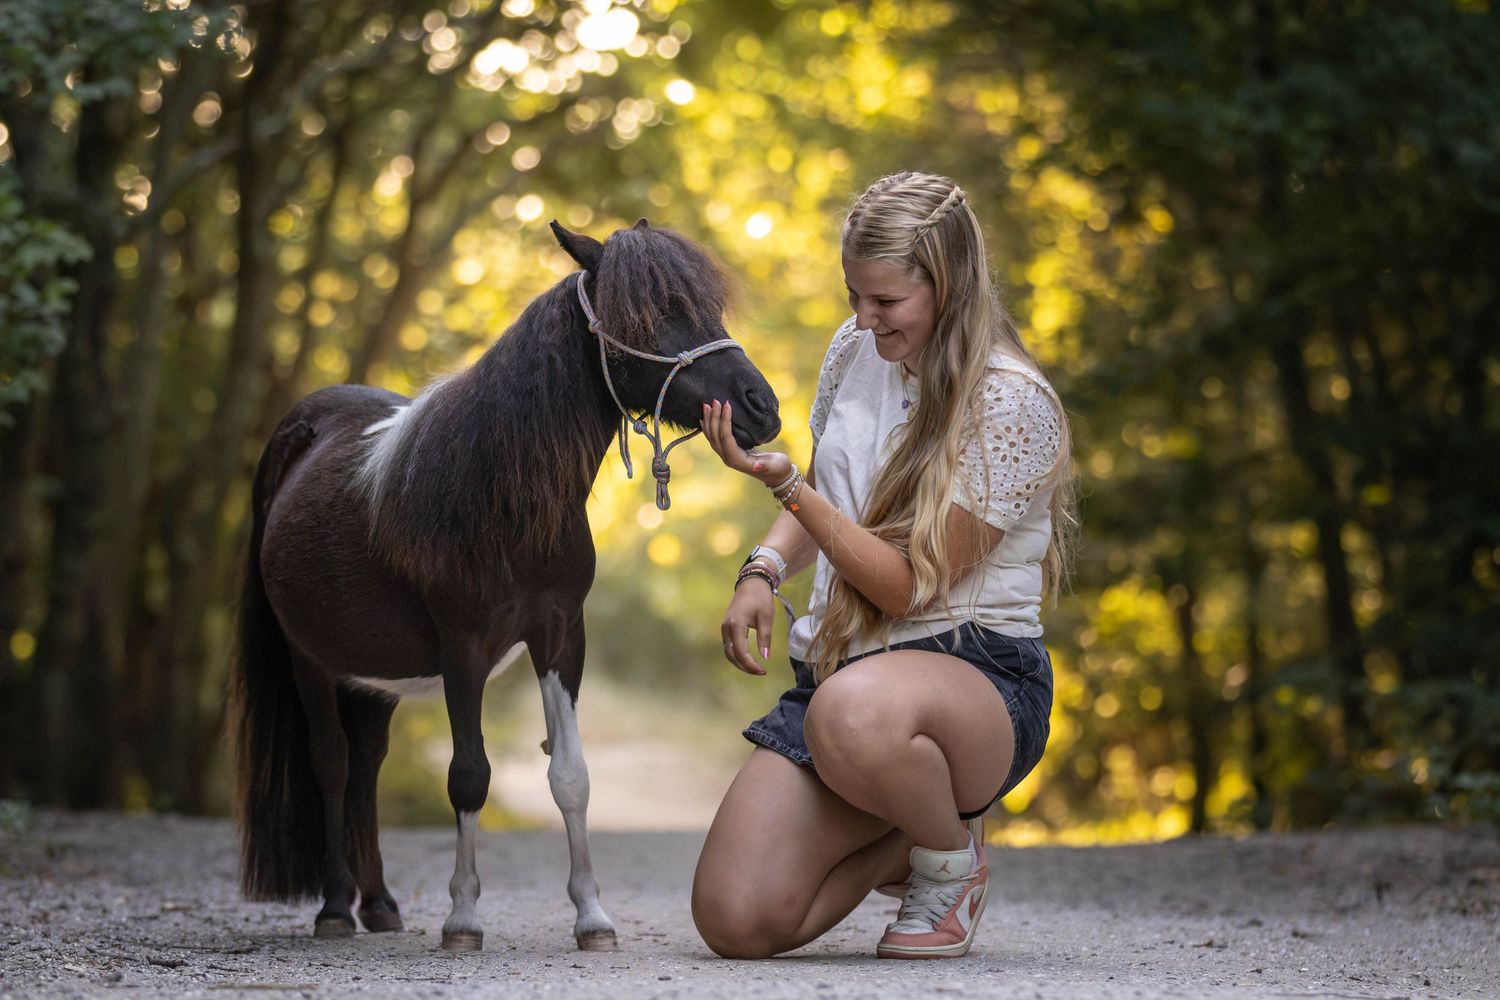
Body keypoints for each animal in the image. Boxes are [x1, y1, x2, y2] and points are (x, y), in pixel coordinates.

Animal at [230, 218, 780, 952]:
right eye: (650, 316)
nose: (762, 407)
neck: (503, 493)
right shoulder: (463, 647)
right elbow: (469, 777)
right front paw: (463, 918)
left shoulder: (560, 636)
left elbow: (570, 776)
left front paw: (592, 918)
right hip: (310, 659)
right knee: (333, 764)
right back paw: (335, 910)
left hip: (371, 678)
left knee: (367, 768)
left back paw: (380, 905)